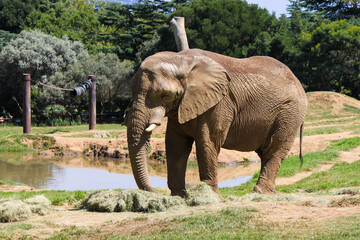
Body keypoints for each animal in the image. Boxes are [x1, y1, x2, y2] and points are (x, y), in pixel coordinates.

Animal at [125, 48, 308, 197]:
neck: (180, 60)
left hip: (289, 113)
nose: (154, 192)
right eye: (131, 91)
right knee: (265, 152)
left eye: (164, 95)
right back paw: (269, 193)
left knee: (274, 149)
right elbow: (175, 143)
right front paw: (180, 198)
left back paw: (260, 194)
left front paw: (211, 198)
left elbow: (207, 142)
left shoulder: (219, 103)